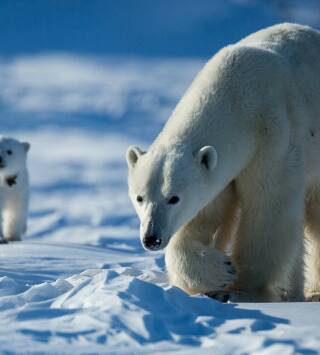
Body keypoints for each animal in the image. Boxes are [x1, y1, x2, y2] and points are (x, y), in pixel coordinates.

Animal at [126, 23, 320, 304]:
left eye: (174, 198)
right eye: (140, 197)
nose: (152, 238)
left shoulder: (276, 136)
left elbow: (269, 207)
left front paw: (243, 289)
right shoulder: (219, 170)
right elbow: (207, 216)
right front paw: (219, 272)